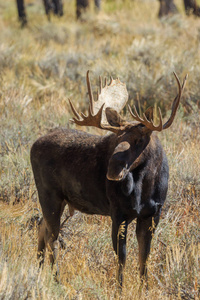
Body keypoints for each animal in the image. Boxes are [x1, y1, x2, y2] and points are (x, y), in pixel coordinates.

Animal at [30, 71, 187, 288]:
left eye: (139, 139)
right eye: (116, 138)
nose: (113, 169)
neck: (144, 187)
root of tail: (33, 145)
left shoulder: (153, 213)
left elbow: (144, 258)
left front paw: (144, 289)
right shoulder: (118, 213)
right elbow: (122, 258)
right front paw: (119, 290)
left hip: (59, 201)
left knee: (42, 227)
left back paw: (38, 271)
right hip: (49, 195)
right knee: (52, 237)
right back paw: (56, 281)